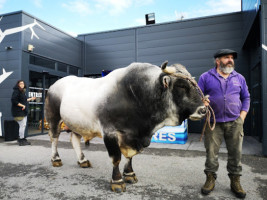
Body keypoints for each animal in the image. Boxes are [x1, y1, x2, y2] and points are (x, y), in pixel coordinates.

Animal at [44, 61, 207, 192]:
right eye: (181, 86)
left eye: (194, 85)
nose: (203, 110)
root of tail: (53, 85)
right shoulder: (110, 132)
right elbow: (116, 158)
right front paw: (117, 181)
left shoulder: (132, 136)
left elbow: (130, 156)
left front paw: (129, 174)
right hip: (54, 118)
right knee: (54, 138)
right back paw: (56, 159)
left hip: (77, 123)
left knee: (74, 138)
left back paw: (82, 161)